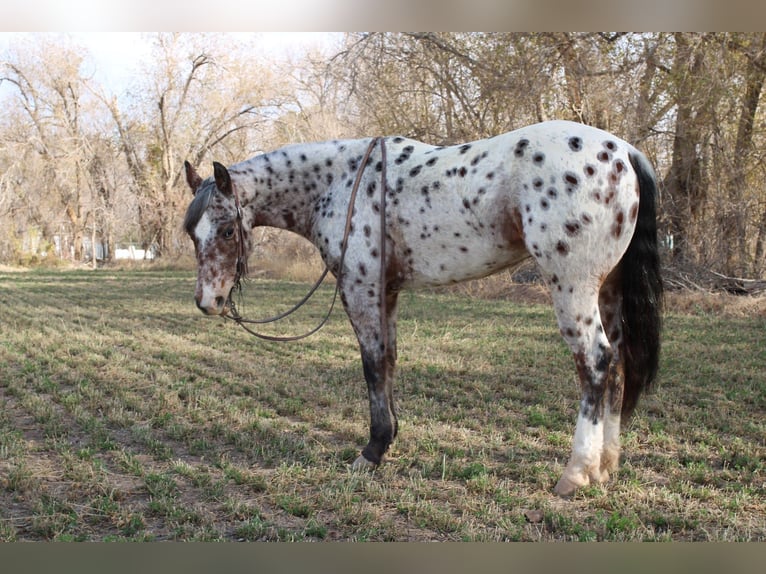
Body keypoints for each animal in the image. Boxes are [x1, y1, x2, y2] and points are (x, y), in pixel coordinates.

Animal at [183, 121, 664, 500]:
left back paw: (576, 473)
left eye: (227, 230)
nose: (208, 302)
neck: (339, 183)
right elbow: (389, 362)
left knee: (595, 362)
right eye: (193, 233)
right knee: (617, 365)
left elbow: (372, 365)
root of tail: (624, 151)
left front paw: (372, 452)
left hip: (573, 288)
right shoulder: (387, 293)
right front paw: (388, 439)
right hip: (607, 291)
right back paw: (605, 467)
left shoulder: (361, 290)